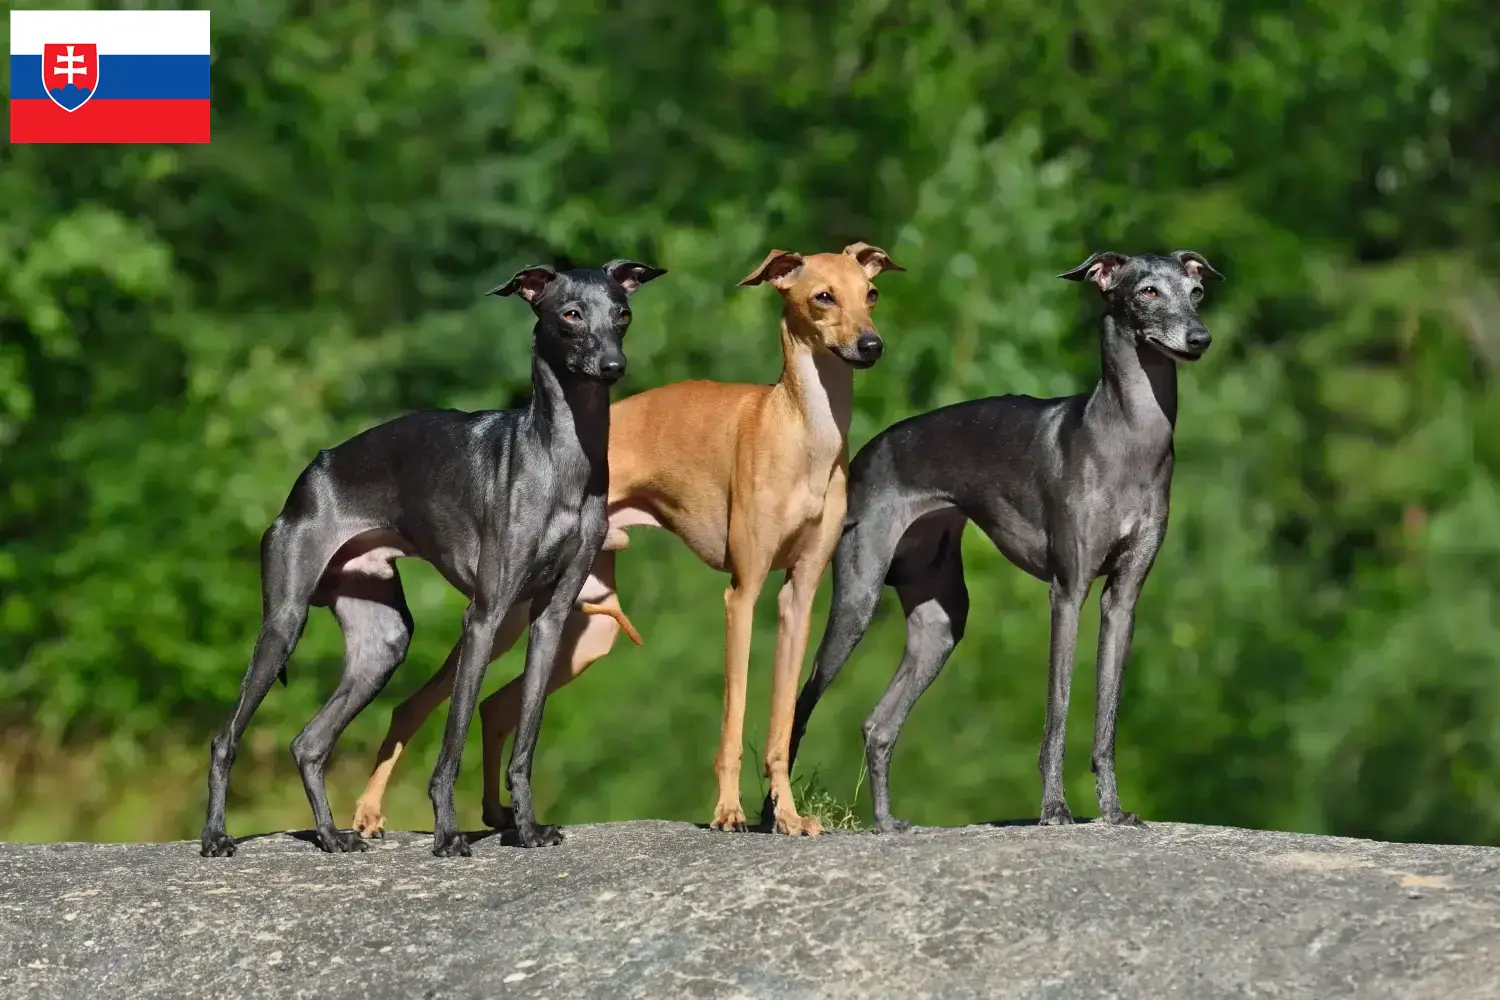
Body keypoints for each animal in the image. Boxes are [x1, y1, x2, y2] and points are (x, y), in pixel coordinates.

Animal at [198, 257, 663, 863]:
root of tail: (312, 473)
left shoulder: (551, 616)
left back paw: (330, 836)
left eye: (622, 313)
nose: (613, 366)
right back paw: (215, 837)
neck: (558, 459)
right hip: (284, 620)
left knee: (308, 742)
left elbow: (527, 736)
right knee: (226, 735)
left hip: (383, 641)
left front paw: (528, 828)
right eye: (570, 314)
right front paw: (447, 833)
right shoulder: (484, 617)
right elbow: (453, 738)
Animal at [349, 239, 900, 839]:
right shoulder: (742, 592)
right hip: (505, 616)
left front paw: (789, 816)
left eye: (871, 293)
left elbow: (781, 725)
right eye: (823, 296)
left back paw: (498, 814)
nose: (871, 346)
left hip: (581, 631)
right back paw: (368, 814)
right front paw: (728, 812)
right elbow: (733, 717)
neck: (797, 432)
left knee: (495, 707)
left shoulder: (797, 595)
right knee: (414, 706)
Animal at [768, 254, 1224, 833]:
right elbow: (1057, 709)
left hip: (940, 623)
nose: (1199, 338)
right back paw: (774, 817)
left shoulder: (1123, 598)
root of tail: (864, 452)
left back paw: (888, 823)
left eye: (1196, 291)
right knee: (802, 707)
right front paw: (1054, 809)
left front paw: (1113, 810)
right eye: (1147, 291)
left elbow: (1107, 716)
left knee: (878, 724)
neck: (1124, 438)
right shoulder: (1067, 591)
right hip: (856, 598)